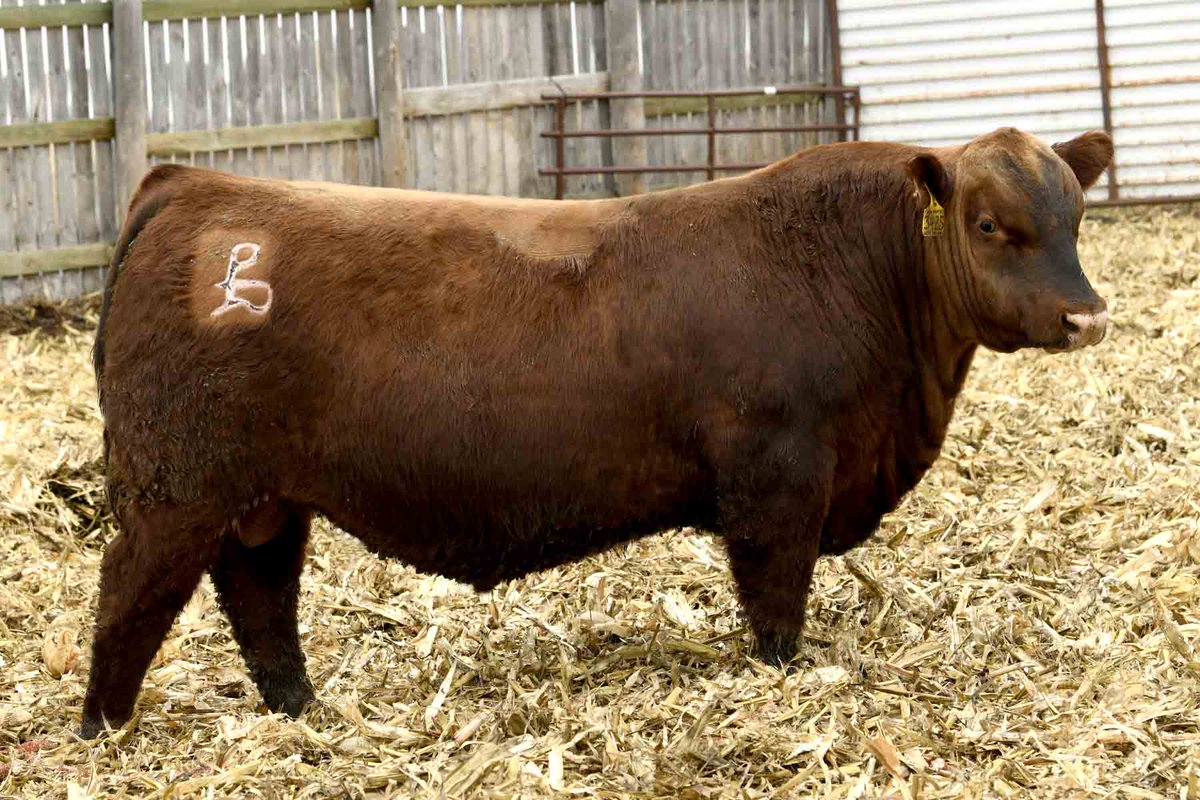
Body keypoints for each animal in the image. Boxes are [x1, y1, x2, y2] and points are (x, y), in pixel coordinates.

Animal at [81, 127, 1113, 737]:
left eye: (1075, 215)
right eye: (990, 223)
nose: (1085, 316)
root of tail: (191, 182)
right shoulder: (777, 479)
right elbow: (775, 604)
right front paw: (783, 679)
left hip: (261, 499)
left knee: (261, 602)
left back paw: (303, 714)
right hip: (173, 490)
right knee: (130, 599)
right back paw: (104, 731)